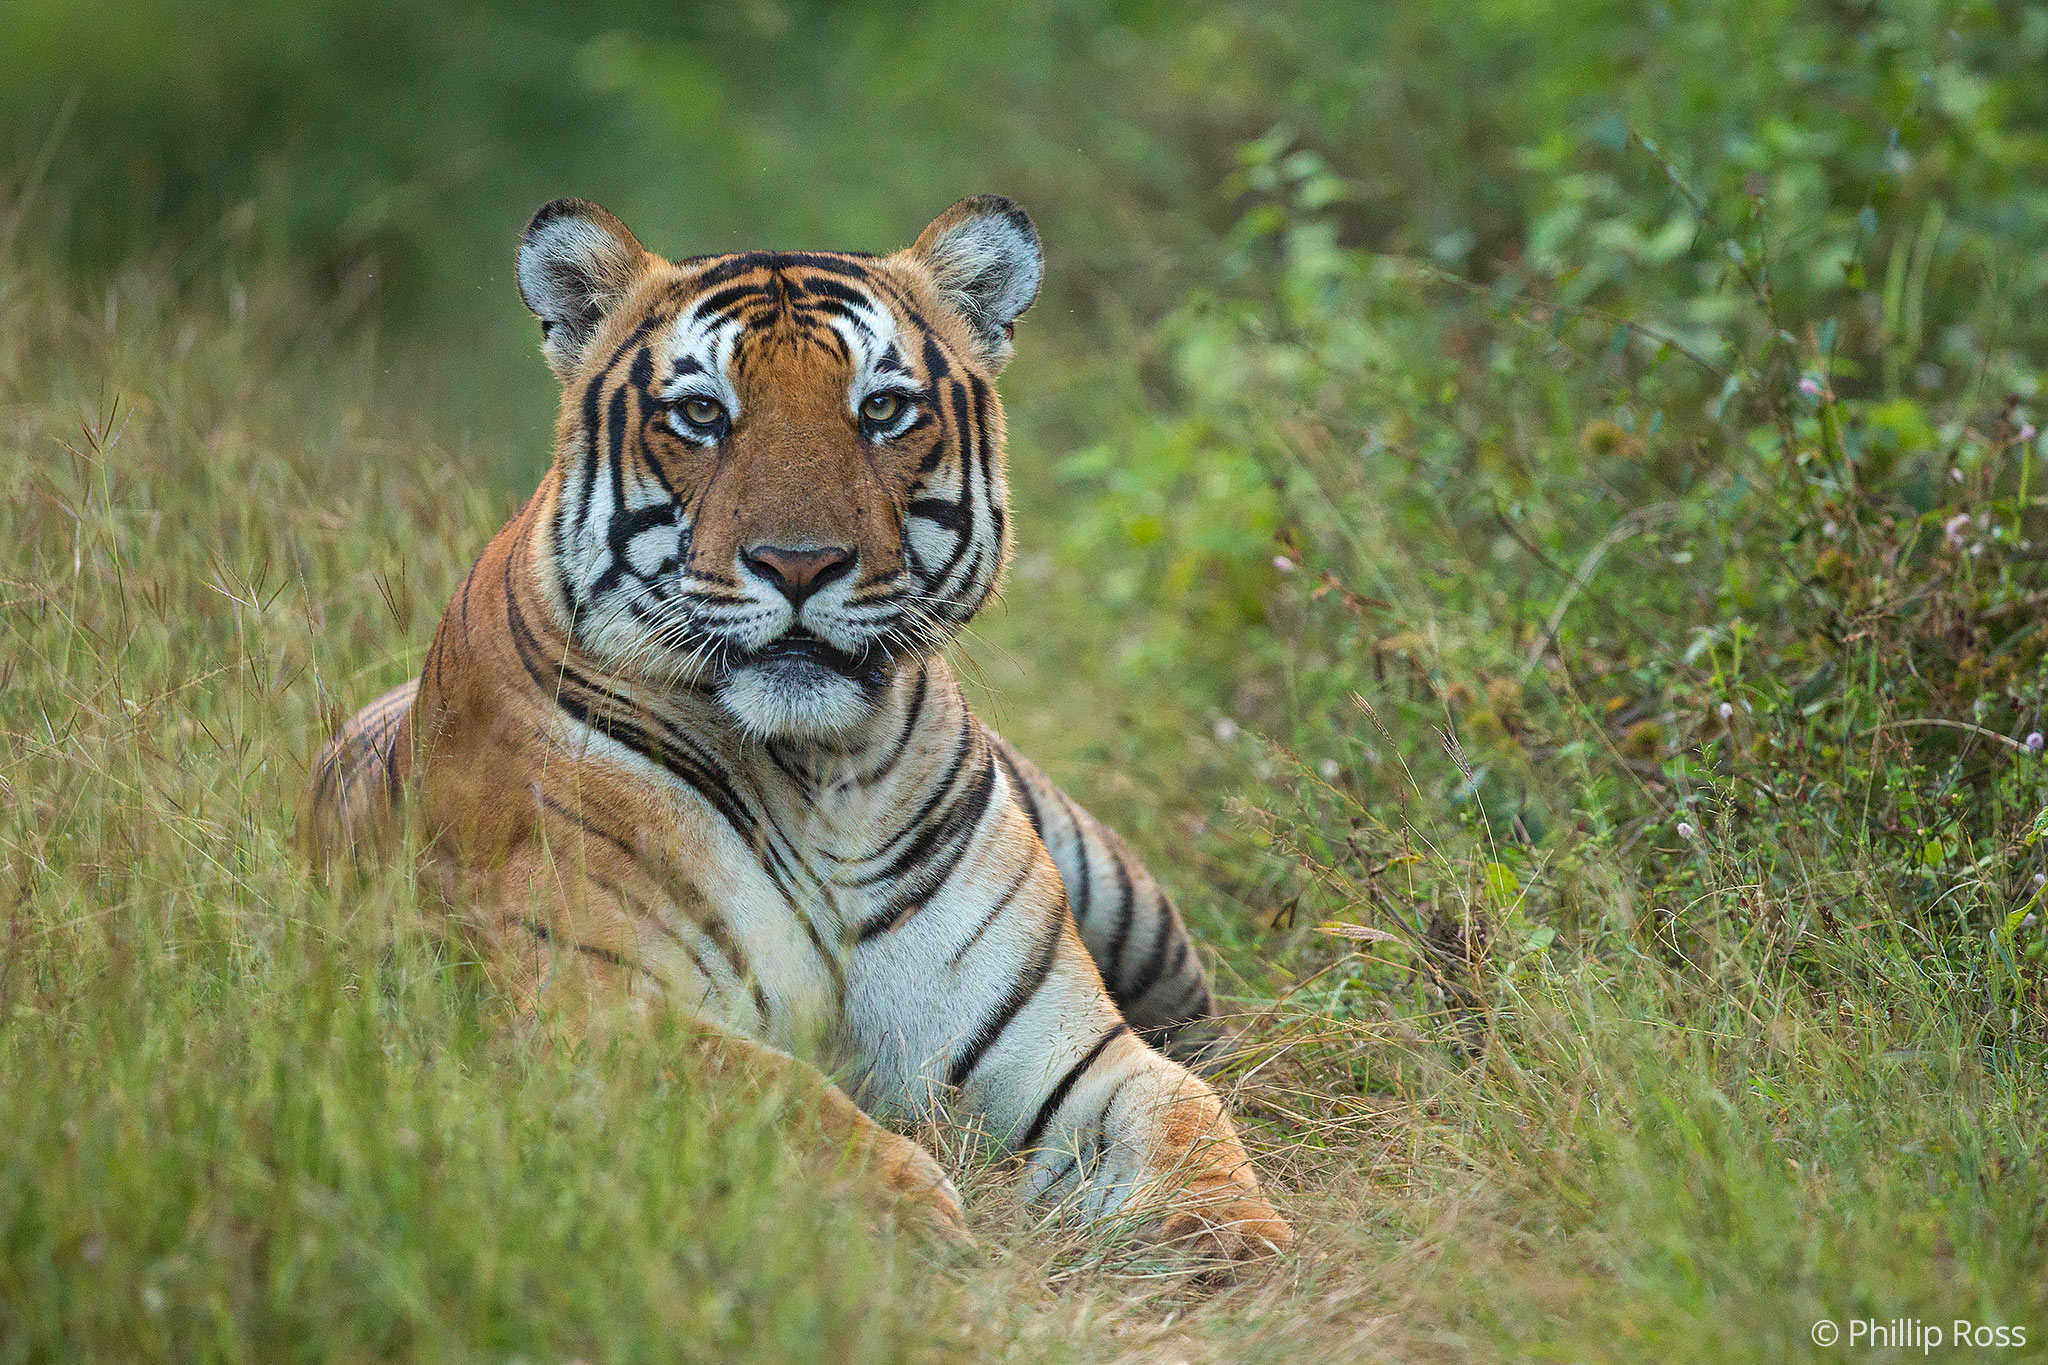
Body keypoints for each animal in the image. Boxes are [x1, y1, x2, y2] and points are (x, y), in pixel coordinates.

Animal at [305, 192, 1286, 1260]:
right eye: (701, 413)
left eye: (883, 409)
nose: (801, 563)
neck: (823, 775)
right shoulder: (590, 1005)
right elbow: (776, 1098)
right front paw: (914, 1229)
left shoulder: (1060, 1043)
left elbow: (1184, 1116)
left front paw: (1240, 1242)